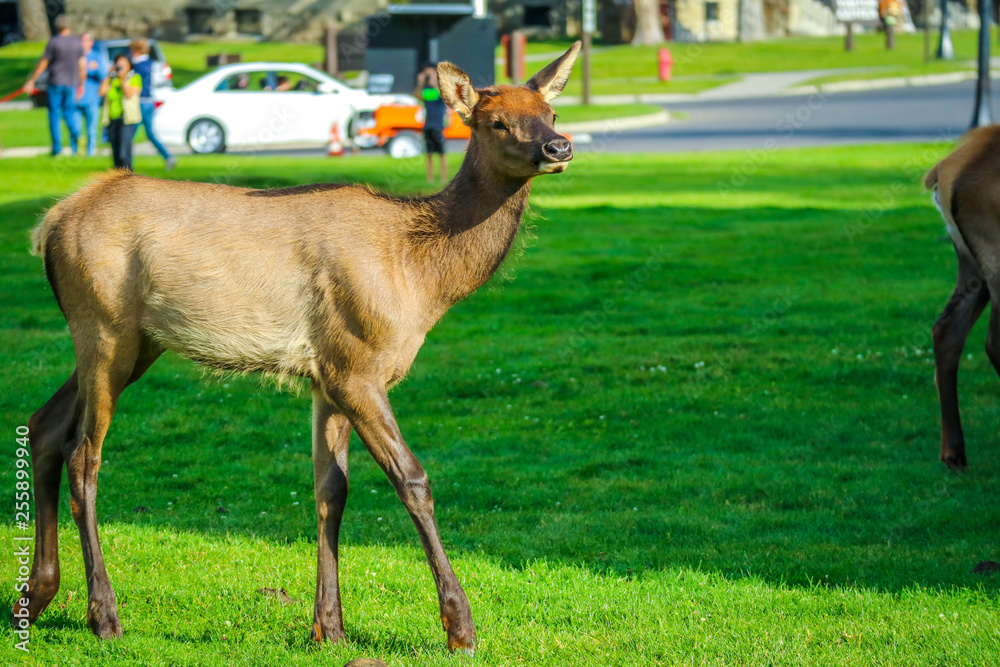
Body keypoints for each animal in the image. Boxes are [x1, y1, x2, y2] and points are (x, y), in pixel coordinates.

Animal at [10, 43, 581, 654]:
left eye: (550, 112)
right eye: (496, 122)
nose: (558, 147)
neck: (421, 279)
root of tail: (48, 226)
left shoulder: (327, 374)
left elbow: (331, 489)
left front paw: (329, 627)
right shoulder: (357, 364)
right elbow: (412, 479)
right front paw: (460, 627)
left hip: (133, 343)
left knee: (43, 427)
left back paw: (36, 595)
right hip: (104, 327)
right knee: (83, 454)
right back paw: (104, 615)